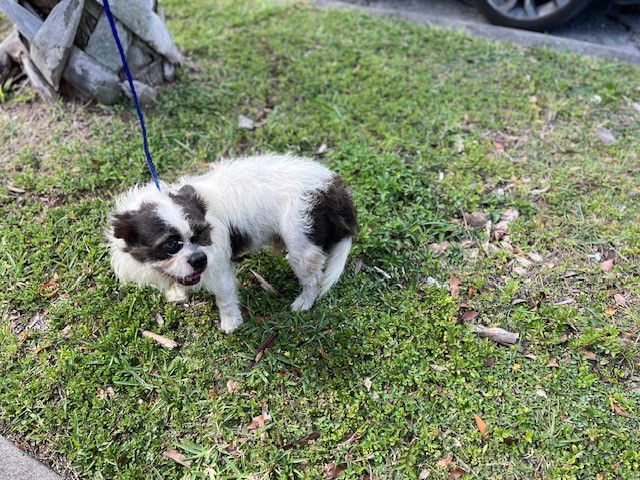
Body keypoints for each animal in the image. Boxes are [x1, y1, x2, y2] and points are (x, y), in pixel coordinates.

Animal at [105, 154, 356, 334]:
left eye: (202, 233)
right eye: (170, 244)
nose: (199, 259)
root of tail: (333, 187)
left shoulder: (218, 265)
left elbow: (224, 297)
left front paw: (231, 323)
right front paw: (178, 292)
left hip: (301, 247)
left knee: (314, 279)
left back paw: (304, 302)